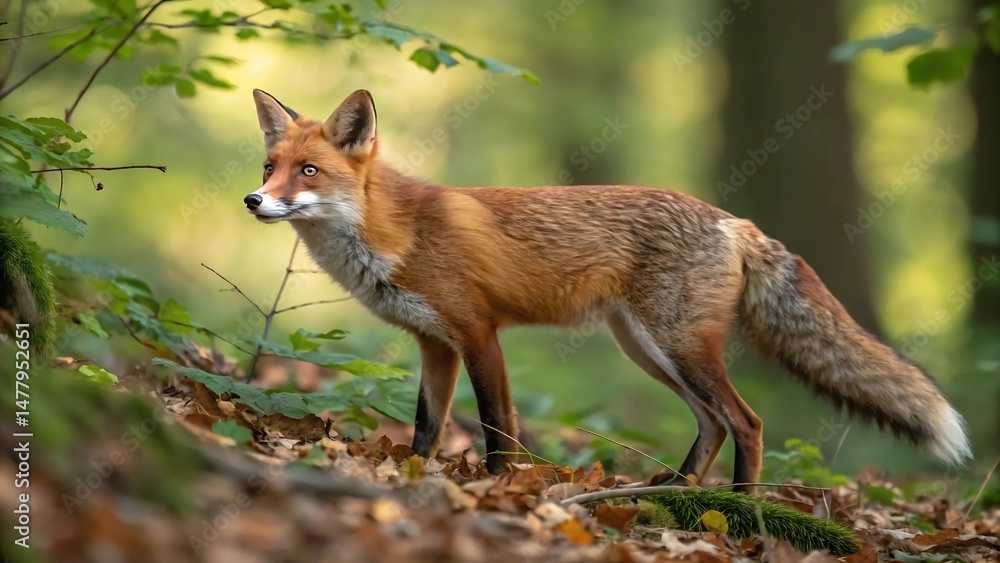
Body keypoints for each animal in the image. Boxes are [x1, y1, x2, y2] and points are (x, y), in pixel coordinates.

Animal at [243, 88, 972, 493]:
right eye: (269, 166)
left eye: (308, 171)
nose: (253, 200)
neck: (393, 231)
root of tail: (731, 220)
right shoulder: (435, 343)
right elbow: (427, 429)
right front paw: (417, 476)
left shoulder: (479, 333)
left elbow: (498, 427)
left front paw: (500, 488)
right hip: (647, 349)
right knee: (712, 422)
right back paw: (680, 487)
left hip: (678, 348)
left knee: (747, 420)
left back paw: (741, 506)